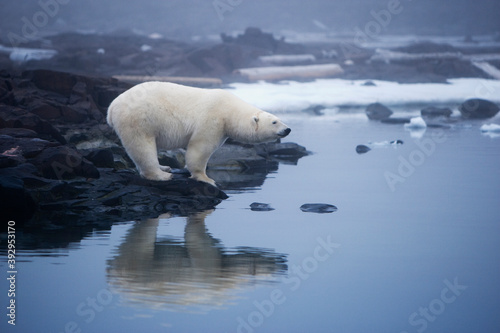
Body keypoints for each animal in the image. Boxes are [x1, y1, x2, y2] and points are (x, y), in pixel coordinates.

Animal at [107, 80, 292, 184]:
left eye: (279, 119)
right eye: (274, 121)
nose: (287, 129)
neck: (229, 110)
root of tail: (112, 107)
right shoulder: (213, 119)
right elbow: (200, 147)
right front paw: (206, 178)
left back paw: (164, 167)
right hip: (139, 119)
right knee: (142, 145)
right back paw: (161, 175)